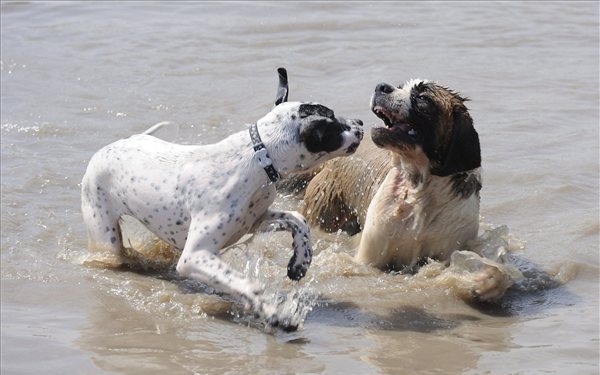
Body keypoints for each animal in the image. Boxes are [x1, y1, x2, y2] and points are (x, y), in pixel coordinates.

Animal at [79, 68, 360, 328]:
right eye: (334, 122)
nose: (360, 122)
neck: (257, 158)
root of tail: (109, 147)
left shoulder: (255, 221)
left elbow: (299, 220)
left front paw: (300, 262)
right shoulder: (194, 257)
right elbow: (248, 284)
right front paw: (275, 312)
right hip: (106, 237)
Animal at [300, 80, 510, 302]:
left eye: (422, 98)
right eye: (400, 86)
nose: (381, 86)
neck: (419, 189)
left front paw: (486, 281)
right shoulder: (369, 255)